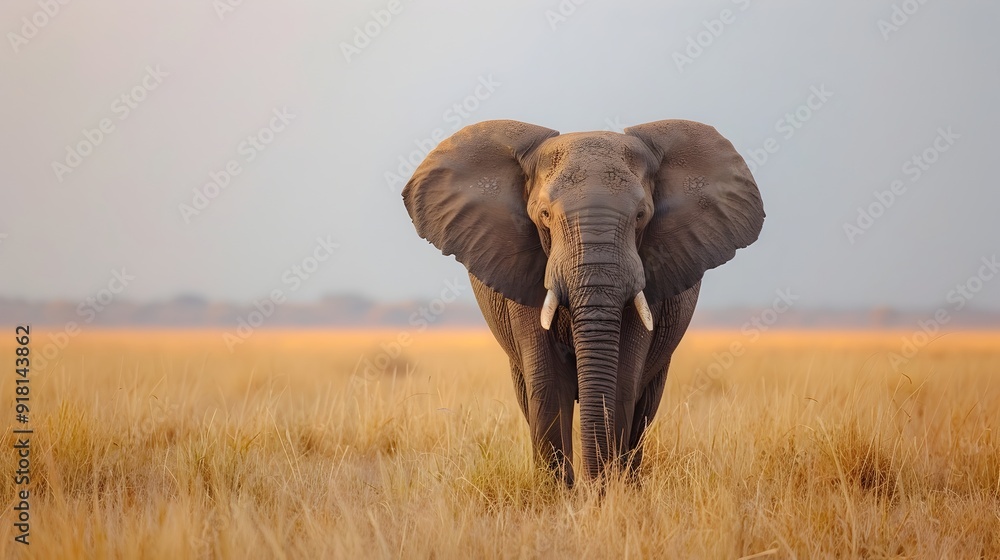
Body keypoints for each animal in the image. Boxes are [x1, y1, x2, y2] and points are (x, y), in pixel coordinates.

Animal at [402, 119, 764, 484]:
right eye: (544, 214)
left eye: (641, 215)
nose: (592, 485)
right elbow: (547, 383)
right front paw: (560, 494)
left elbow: (623, 380)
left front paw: (606, 492)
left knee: (645, 407)